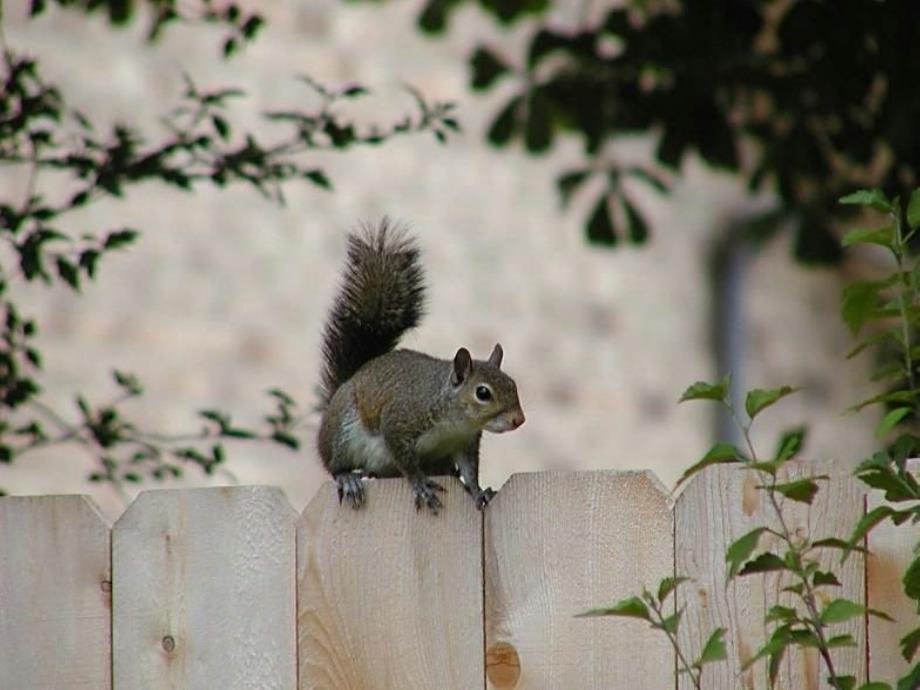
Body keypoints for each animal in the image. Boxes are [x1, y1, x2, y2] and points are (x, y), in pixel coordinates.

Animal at [314, 218, 524, 512]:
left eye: (513, 384)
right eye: (483, 392)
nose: (519, 419)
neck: (455, 421)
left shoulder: (465, 442)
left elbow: (470, 471)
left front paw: (478, 492)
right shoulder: (401, 418)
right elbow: (405, 459)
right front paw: (421, 484)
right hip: (342, 433)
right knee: (335, 465)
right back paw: (348, 478)